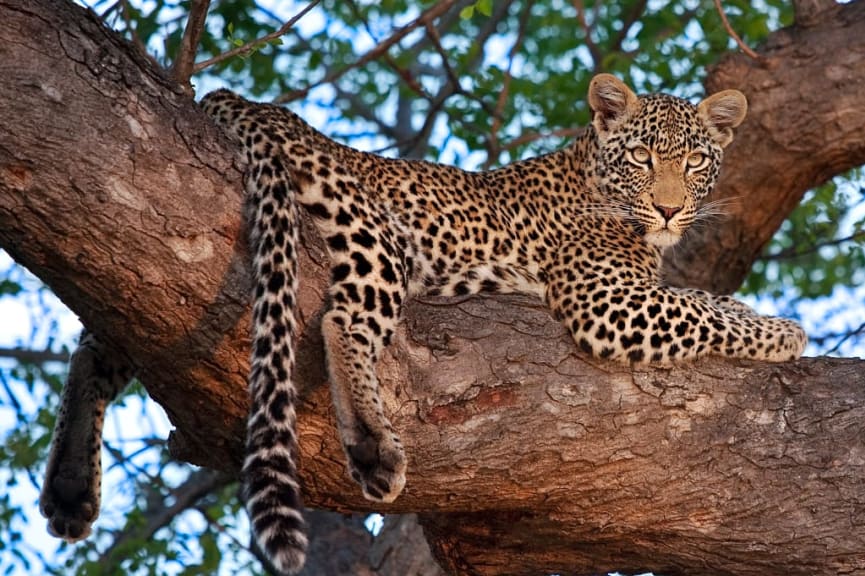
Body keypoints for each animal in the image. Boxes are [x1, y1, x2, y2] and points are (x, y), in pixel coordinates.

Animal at [37, 74, 808, 572]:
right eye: (642, 158)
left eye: (697, 161)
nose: (672, 209)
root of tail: (245, 100)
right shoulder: (604, 302)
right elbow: (695, 308)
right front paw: (785, 333)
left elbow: (700, 298)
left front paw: (757, 313)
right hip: (375, 236)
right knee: (342, 319)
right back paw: (373, 446)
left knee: (101, 339)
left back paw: (70, 488)